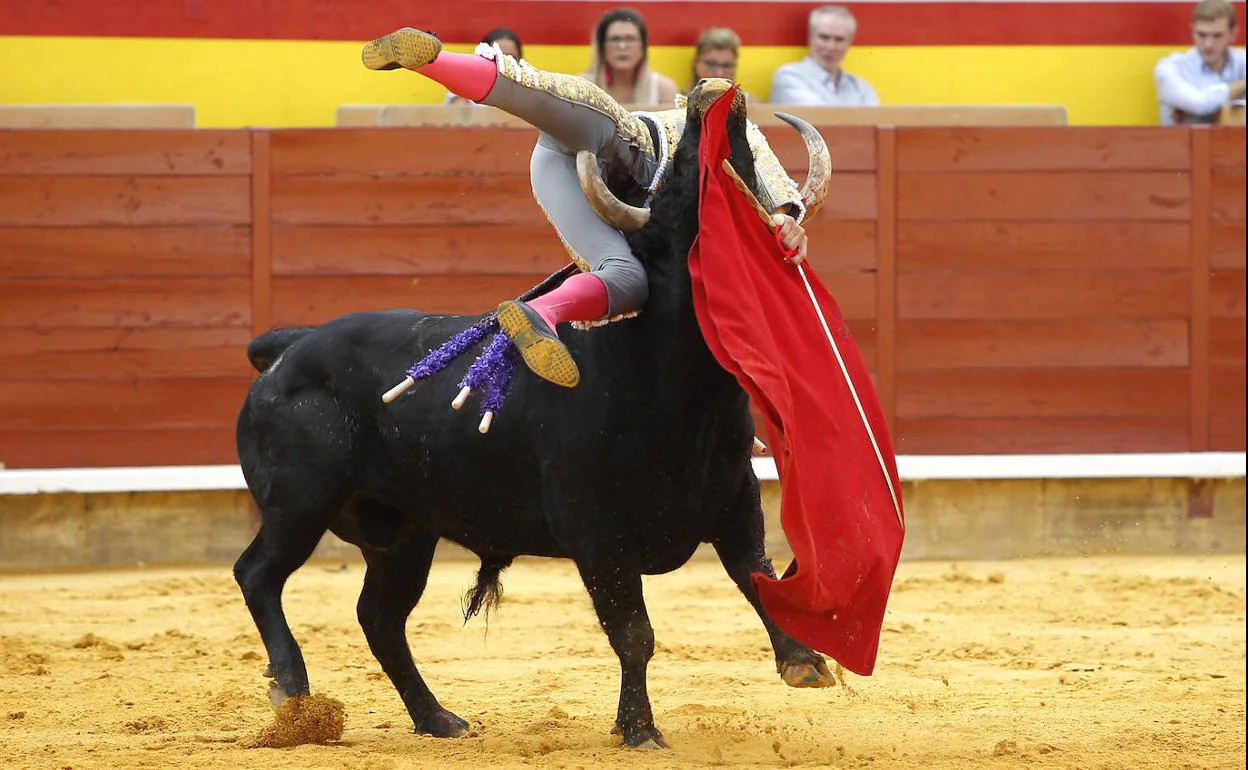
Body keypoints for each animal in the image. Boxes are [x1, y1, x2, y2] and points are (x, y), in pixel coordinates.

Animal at [234, 85, 838, 748]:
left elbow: (759, 577)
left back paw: (437, 718)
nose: (713, 95)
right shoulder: (597, 533)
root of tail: (291, 347)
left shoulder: (735, 502)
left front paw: (804, 661)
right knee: (259, 574)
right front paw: (639, 728)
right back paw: (292, 689)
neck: (676, 385)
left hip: (404, 531)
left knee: (380, 617)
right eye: (677, 181)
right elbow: (634, 632)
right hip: (301, 502)